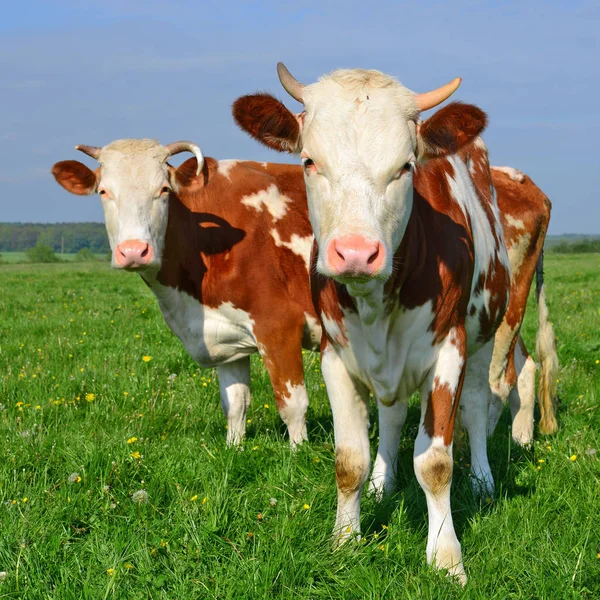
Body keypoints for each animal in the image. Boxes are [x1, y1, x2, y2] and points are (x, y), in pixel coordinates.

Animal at [51, 141, 322, 448]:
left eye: (163, 190)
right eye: (103, 191)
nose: (133, 251)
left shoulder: (279, 327)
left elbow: (293, 405)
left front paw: (298, 452)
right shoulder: (227, 340)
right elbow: (235, 405)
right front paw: (234, 449)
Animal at [233, 63, 556, 584]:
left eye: (405, 166)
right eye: (308, 161)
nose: (355, 253)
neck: (376, 301)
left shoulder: (448, 351)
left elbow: (436, 462)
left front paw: (446, 558)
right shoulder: (336, 356)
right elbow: (349, 459)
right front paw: (345, 539)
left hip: (492, 327)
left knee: (484, 398)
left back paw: (482, 479)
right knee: (392, 413)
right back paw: (383, 484)